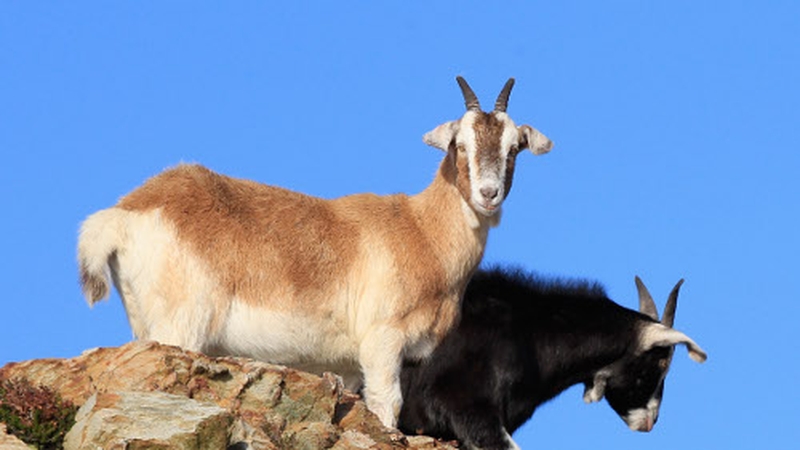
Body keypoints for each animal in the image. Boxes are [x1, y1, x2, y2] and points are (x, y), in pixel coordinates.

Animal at [76, 77, 553, 428]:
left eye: (514, 148)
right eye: (460, 144)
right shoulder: (382, 341)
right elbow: (388, 404)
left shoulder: (347, 364)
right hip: (181, 328)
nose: (488, 195)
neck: (420, 229)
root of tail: (128, 210)